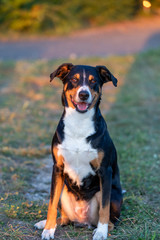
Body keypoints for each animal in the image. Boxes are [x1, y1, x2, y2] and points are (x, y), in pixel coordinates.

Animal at [35, 62, 122, 239]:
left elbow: (104, 208)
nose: (83, 94)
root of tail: (82, 221)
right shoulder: (57, 168)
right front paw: (48, 229)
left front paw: (101, 233)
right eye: (74, 80)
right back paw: (46, 224)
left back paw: (99, 229)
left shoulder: (105, 171)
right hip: (63, 189)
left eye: (93, 81)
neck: (79, 123)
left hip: (113, 195)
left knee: (110, 221)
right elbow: (51, 204)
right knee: (64, 218)